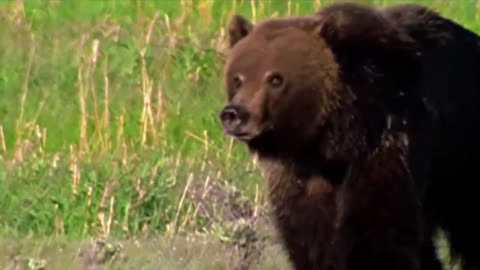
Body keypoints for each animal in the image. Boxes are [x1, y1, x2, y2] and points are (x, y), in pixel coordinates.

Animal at [218, 2, 480, 270]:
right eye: (237, 78)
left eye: (275, 78)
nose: (234, 114)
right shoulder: (299, 177)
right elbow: (309, 238)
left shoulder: (387, 142)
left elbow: (380, 231)